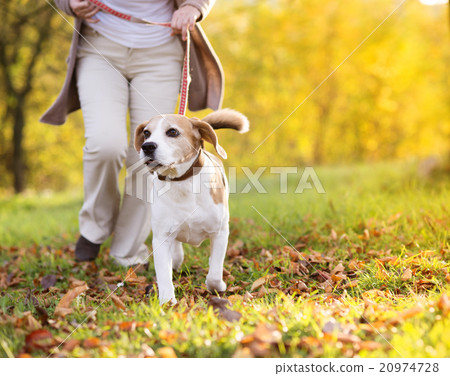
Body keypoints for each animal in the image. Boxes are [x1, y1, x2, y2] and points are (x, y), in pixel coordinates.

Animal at [134, 108, 250, 302]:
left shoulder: (220, 232)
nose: (147, 146)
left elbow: (214, 273)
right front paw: (168, 302)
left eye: (172, 132)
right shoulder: (161, 237)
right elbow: (163, 274)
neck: (182, 182)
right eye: (146, 133)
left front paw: (218, 287)